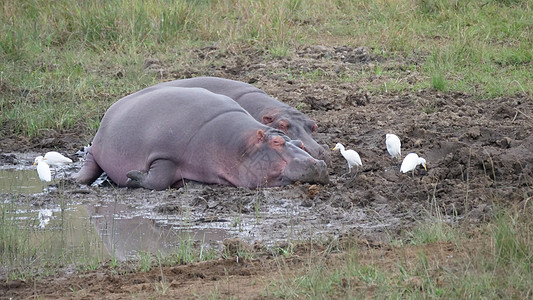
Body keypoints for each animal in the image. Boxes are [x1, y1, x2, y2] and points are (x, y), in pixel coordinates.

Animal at [72, 86, 326, 190]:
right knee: (90, 166)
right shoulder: (165, 155)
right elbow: (157, 181)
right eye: (277, 142)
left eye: (299, 143)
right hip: (97, 149)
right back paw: (75, 181)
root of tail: (117, 104)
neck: (240, 145)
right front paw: (132, 177)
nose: (319, 163)